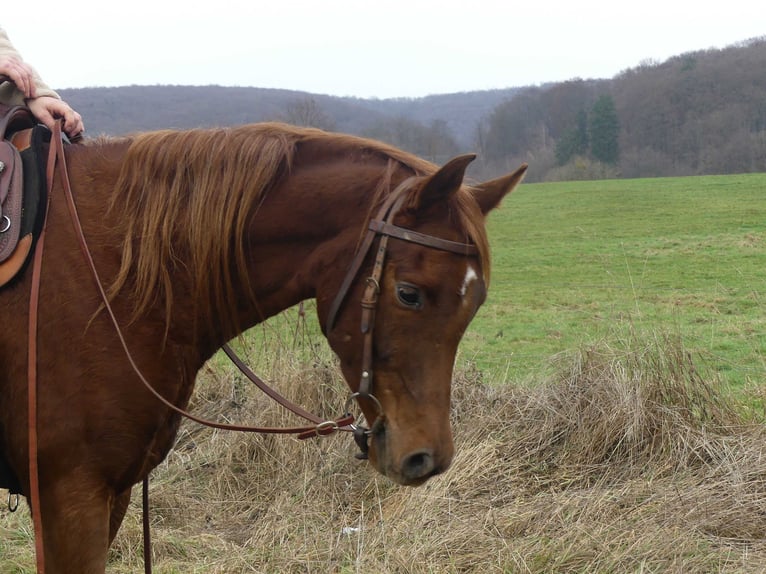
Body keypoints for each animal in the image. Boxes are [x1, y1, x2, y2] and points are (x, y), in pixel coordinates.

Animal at [0, 121, 527, 573]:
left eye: (475, 302)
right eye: (409, 293)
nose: (427, 458)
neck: (111, 277)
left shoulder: (114, 492)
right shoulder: (71, 495)